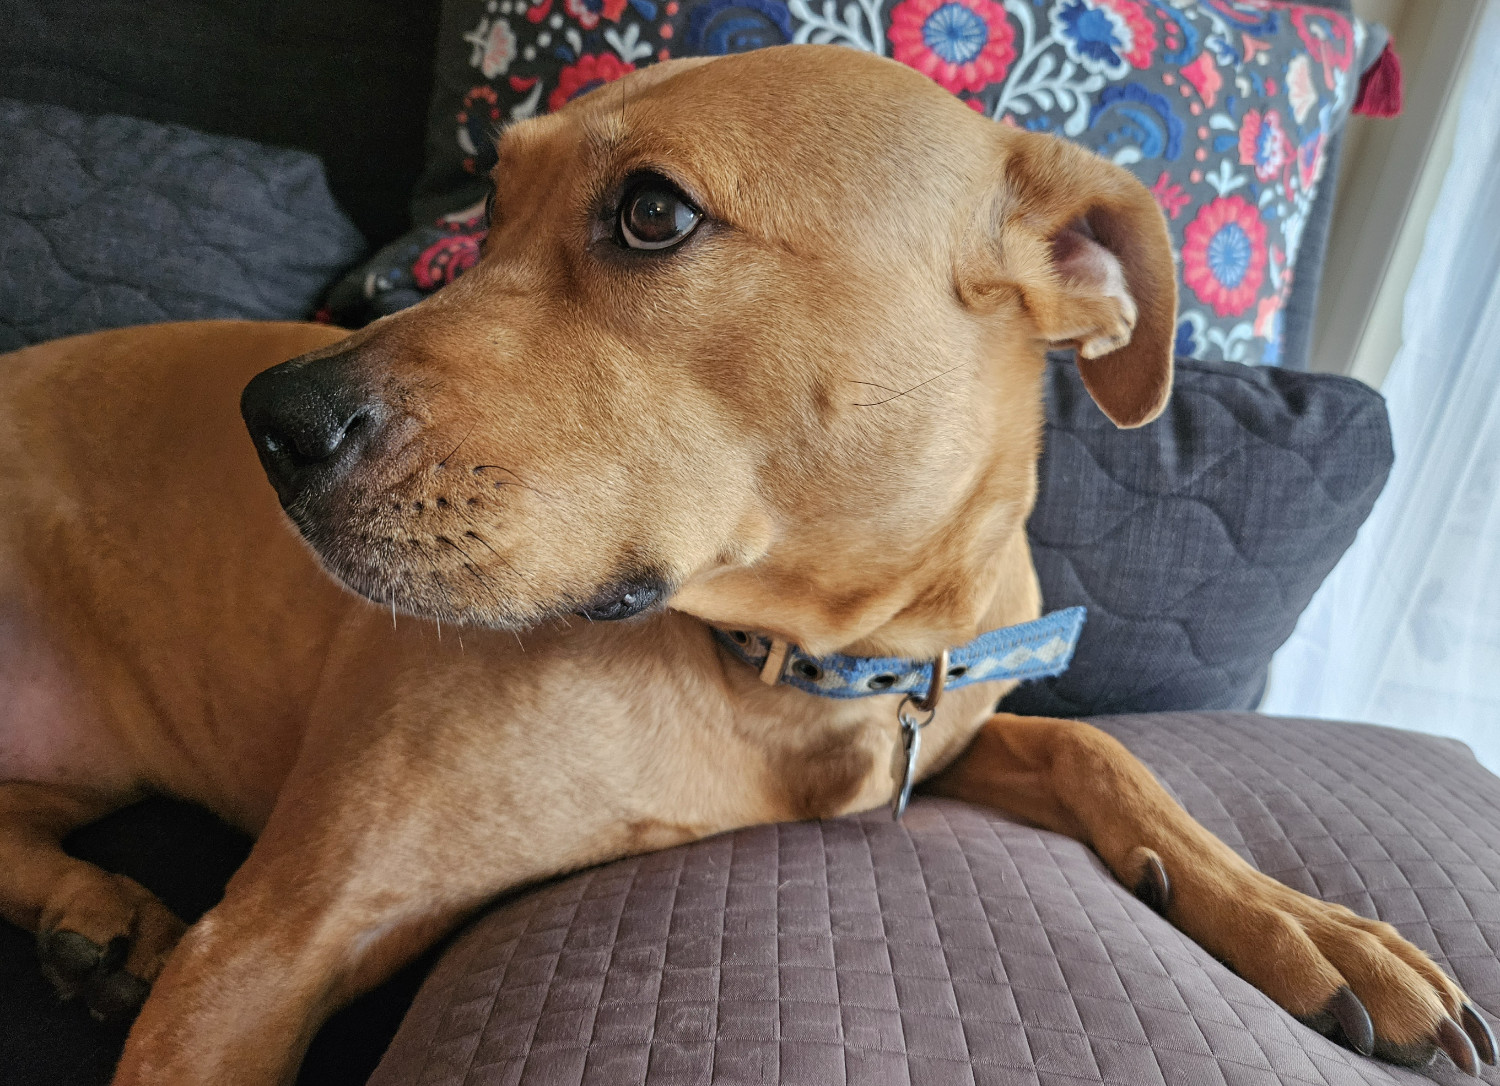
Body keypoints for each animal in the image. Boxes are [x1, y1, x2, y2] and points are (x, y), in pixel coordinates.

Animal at [0, 44, 1488, 1086]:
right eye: (492, 205)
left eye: (653, 213)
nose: (270, 422)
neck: (804, 668)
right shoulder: (263, 950)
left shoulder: (942, 716)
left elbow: (1095, 746)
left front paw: (1312, 925)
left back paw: (88, 906)